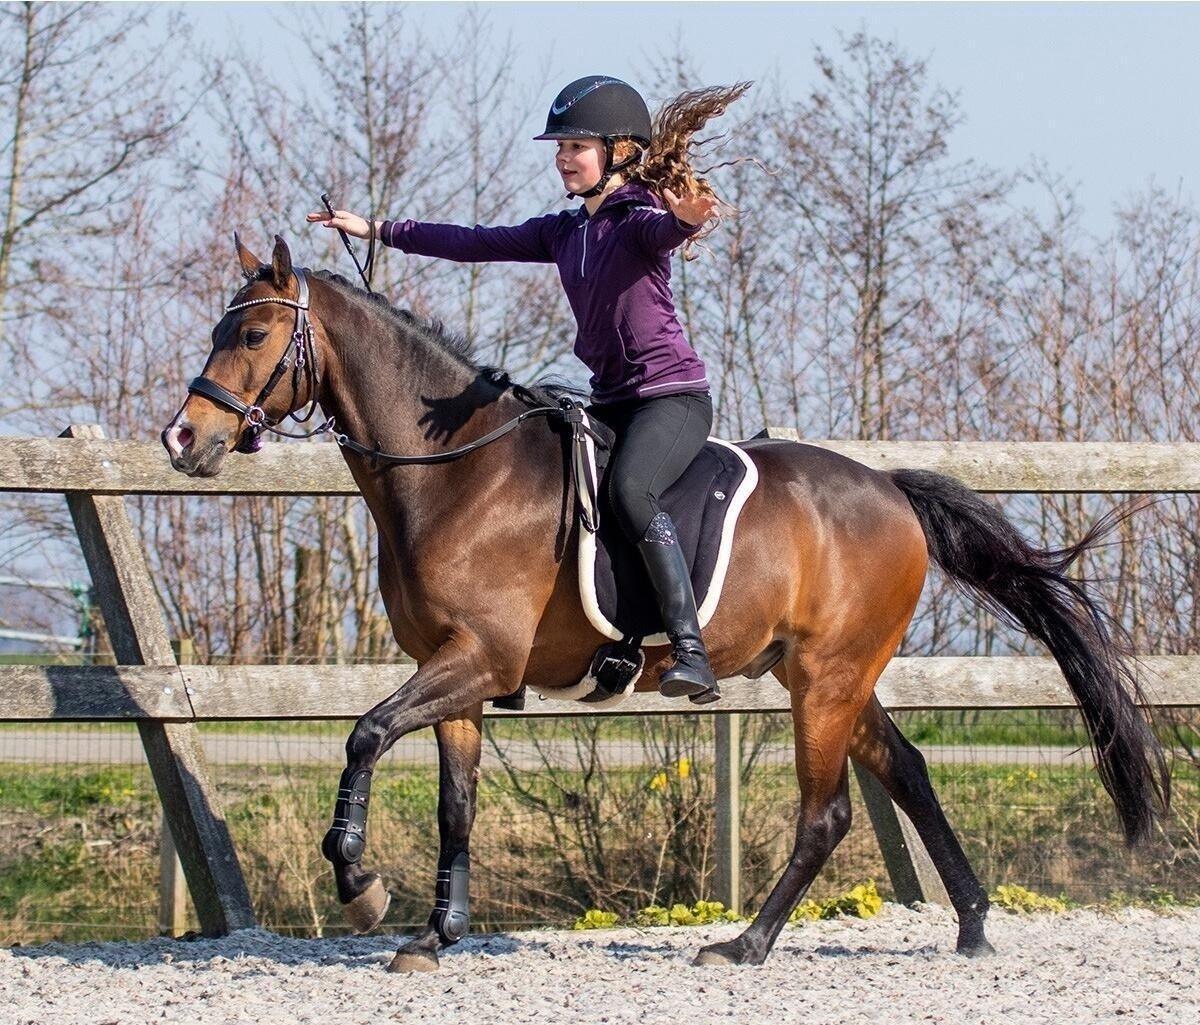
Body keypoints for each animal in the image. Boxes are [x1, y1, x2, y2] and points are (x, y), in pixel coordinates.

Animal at [162, 235, 1168, 972]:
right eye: (214, 330)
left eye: (252, 338)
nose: (182, 437)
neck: (456, 473)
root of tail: (888, 487)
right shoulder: (455, 673)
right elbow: (455, 804)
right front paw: (433, 933)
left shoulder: (476, 659)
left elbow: (365, 733)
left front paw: (360, 880)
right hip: (830, 675)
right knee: (911, 771)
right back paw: (970, 923)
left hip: (826, 680)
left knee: (828, 812)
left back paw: (747, 943)